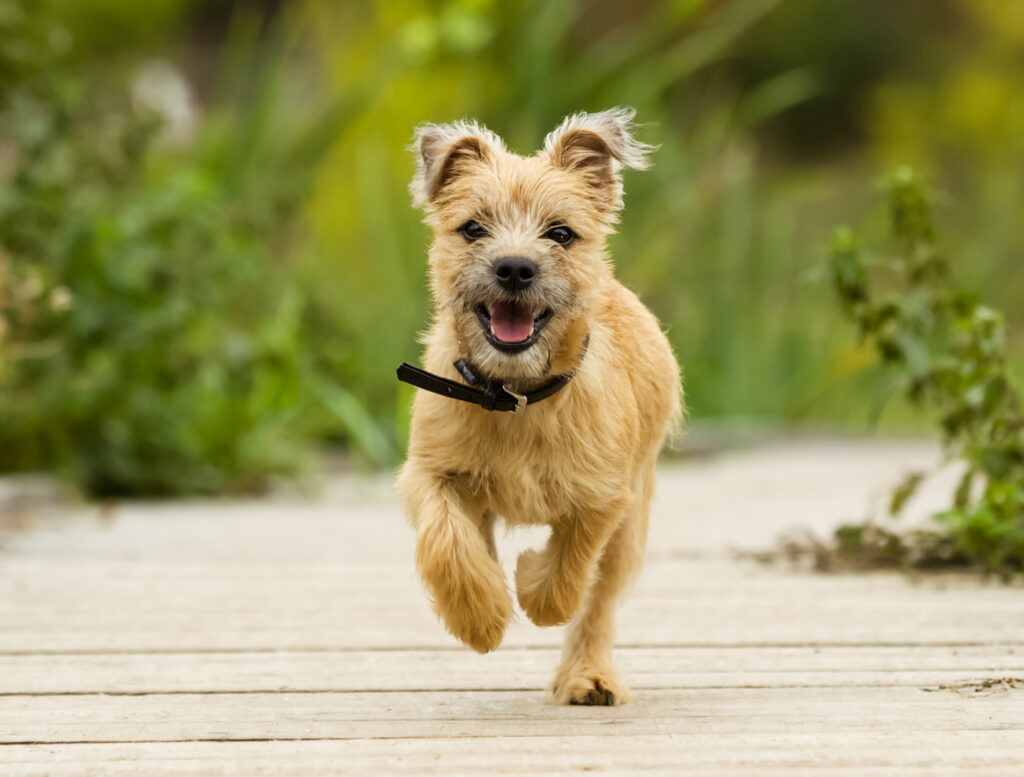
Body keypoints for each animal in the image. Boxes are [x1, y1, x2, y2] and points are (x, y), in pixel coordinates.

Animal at [395, 106, 684, 708]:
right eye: (473, 229)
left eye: (561, 234)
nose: (514, 268)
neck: (514, 398)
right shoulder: (429, 474)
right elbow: (448, 544)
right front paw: (480, 617)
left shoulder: (605, 499)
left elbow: (570, 574)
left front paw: (532, 588)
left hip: (633, 525)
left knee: (599, 603)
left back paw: (589, 676)